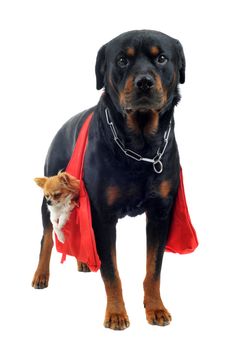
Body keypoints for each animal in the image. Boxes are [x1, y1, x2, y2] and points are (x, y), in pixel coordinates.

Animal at [32, 30, 186, 330]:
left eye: (162, 58)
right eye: (122, 60)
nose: (144, 82)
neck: (140, 146)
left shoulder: (161, 213)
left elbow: (154, 268)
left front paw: (156, 308)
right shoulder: (103, 215)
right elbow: (111, 272)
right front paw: (116, 314)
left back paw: (83, 262)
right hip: (49, 196)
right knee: (46, 238)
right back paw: (41, 275)